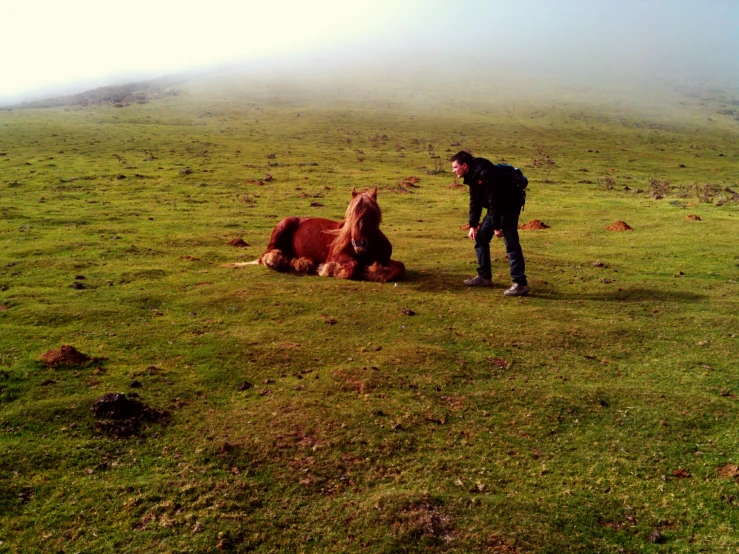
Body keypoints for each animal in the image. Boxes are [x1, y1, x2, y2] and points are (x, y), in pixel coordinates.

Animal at [256, 187, 404, 280]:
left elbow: (400, 267)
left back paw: (302, 263)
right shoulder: (336, 255)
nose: (359, 244)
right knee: (267, 255)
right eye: (351, 216)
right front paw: (327, 269)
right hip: (281, 228)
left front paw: (372, 272)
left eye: (372, 215)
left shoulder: (385, 259)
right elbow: (352, 266)